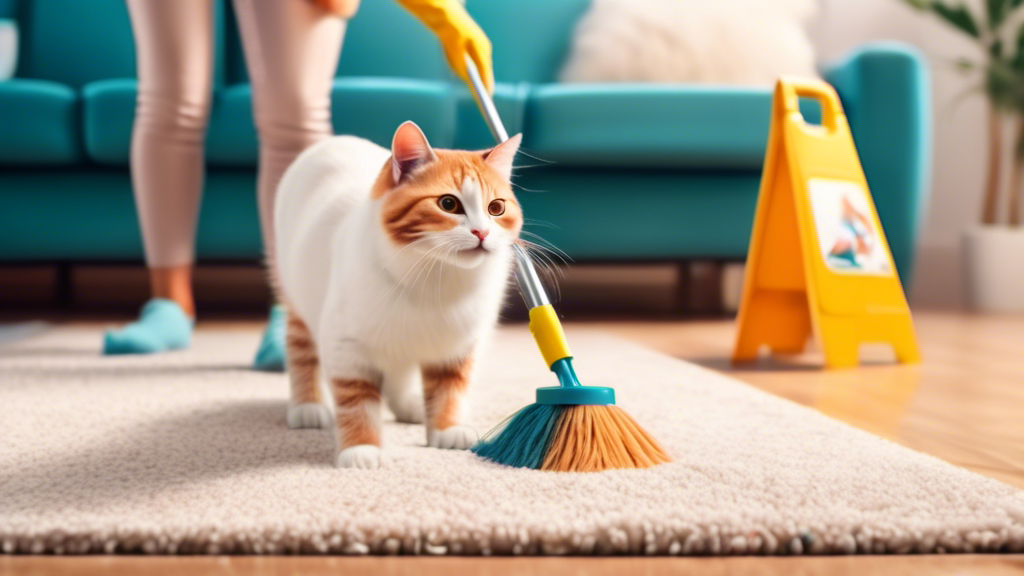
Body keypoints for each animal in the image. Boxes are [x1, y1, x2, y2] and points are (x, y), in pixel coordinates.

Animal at [270, 119, 520, 467]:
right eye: (448, 204)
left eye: (496, 208)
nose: (482, 232)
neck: (438, 277)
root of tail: (332, 141)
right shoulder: (346, 347)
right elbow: (356, 399)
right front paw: (361, 448)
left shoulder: (458, 345)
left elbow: (450, 388)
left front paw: (447, 428)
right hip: (298, 301)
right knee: (300, 350)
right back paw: (308, 406)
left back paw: (410, 405)